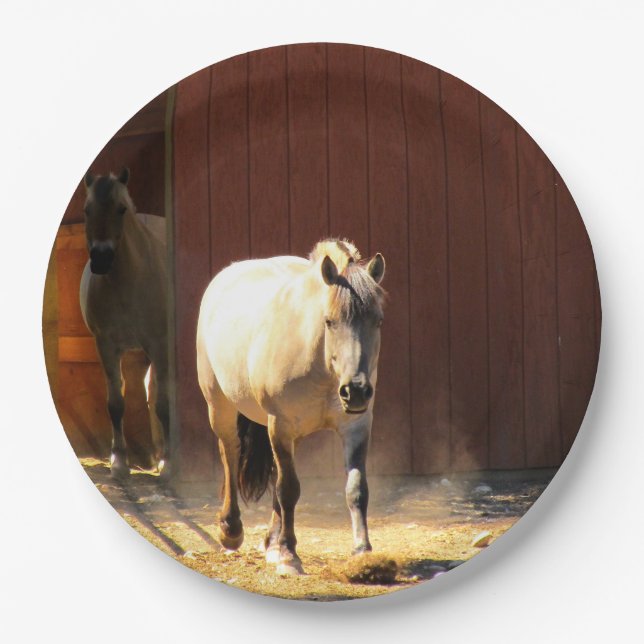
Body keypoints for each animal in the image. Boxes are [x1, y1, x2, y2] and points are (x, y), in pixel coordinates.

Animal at [79, 167, 170, 480]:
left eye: (121, 209)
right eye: (87, 210)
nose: (101, 258)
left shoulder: (159, 342)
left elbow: (163, 403)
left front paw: (168, 464)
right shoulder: (107, 345)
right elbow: (116, 404)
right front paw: (119, 462)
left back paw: (164, 457)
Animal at [196, 239, 386, 575]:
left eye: (377, 320)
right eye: (329, 321)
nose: (356, 390)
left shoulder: (356, 425)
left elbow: (356, 488)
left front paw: (362, 551)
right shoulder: (280, 425)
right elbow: (288, 490)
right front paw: (288, 554)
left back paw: (271, 542)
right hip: (220, 406)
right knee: (229, 452)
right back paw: (231, 529)